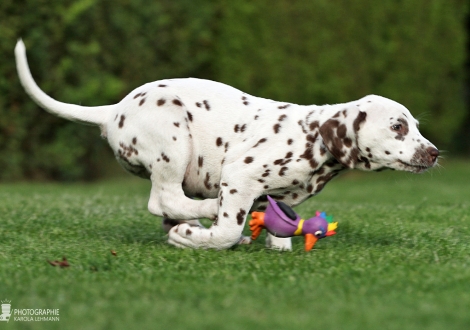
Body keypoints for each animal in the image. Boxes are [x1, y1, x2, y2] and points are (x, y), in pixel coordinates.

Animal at [15, 40, 440, 250]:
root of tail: (113, 111)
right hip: (174, 143)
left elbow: (278, 225)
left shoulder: (279, 194)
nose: (434, 153)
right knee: (164, 199)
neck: (313, 138)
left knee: (168, 206)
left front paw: (276, 243)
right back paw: (200, 216)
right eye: (398, 126)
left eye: (415, 125)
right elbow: (228, 231)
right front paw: (204, 239)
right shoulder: (241, 176)